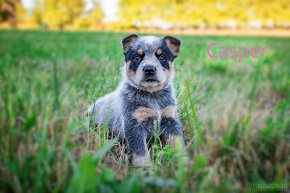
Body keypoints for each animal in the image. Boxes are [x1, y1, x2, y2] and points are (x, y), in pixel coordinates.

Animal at [86, 34, 186, 166]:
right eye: (137, 58)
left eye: (162, 57)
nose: (149, 69)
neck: (152, 95)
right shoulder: (134, 124)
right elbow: (140, 151)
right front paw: (144, 167)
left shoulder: (170, 119)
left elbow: (178, 142)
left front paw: (184, 161)